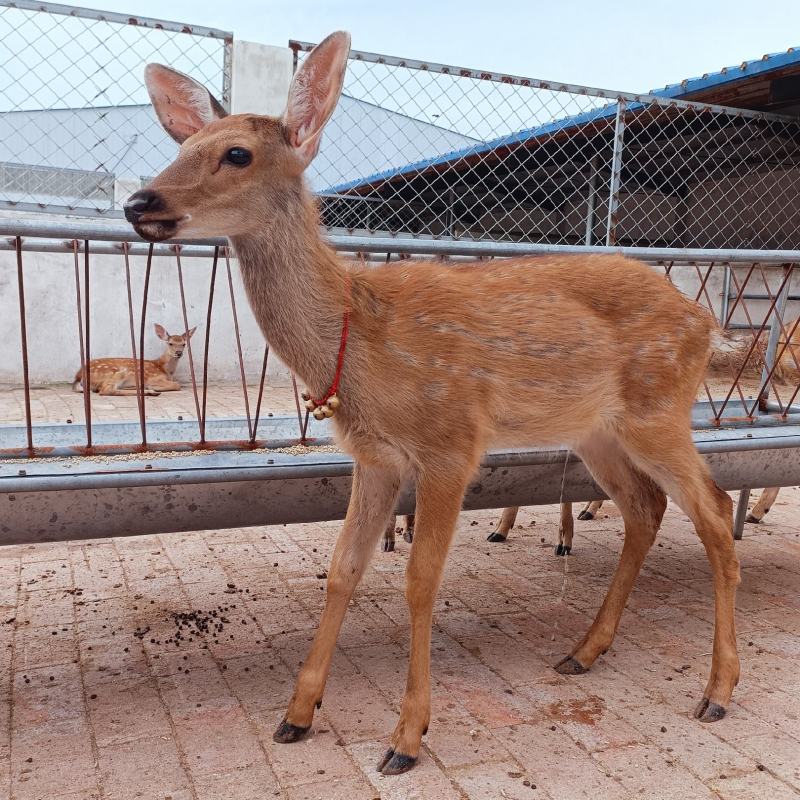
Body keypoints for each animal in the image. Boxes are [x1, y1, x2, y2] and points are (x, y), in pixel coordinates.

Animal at [125, 32, 740, 776]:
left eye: (236, 153)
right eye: (184, 142)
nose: (139, 203)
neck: (360, 334)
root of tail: (705, 322)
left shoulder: (451, 441)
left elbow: (420, 579)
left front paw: (407, 737)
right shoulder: (375, 457)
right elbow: (342, 569)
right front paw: (297, 713)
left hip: (659, 408)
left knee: (714, 511)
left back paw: (717, 690)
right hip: (595, 430)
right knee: (645, 509)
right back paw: (584, 652)